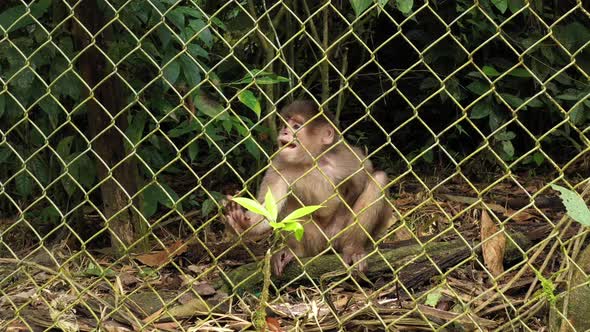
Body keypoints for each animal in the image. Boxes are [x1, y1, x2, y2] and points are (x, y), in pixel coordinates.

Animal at [225, 100, 394, 276]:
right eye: (285, 125)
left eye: (296, 126)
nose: (285, 132)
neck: (311, 161)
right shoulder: (278, 165)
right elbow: (269, 210)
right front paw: (240, 223)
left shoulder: (344, 157)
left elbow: (362, 179)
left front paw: (337, 223)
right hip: (315, 242)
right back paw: (295, 252)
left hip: (340, 240)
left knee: (379, 179)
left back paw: (353, 248)